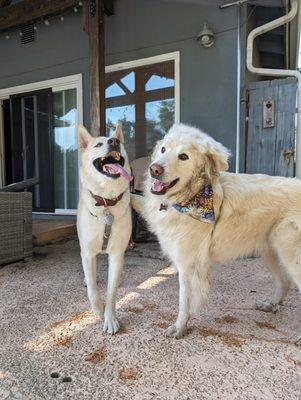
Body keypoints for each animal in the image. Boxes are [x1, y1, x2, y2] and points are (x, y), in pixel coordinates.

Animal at [77, 125, 131, 334]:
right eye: (98, 144)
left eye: (119, 142)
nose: (114, 141)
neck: (107, 202)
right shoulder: (87, 252)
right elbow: (93, 288)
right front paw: (98, 309)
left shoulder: (116, 254)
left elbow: (111, 291)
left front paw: (110, 319)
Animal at [132, 123, 300, 342]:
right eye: (163, 150)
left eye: (183, 156)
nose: (154, 169)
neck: (191, 197)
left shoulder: (187, 264)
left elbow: (184, 301)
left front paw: (179, 327)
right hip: (271, 251)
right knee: (284, 282)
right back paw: (270, 305)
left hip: (290, 255)